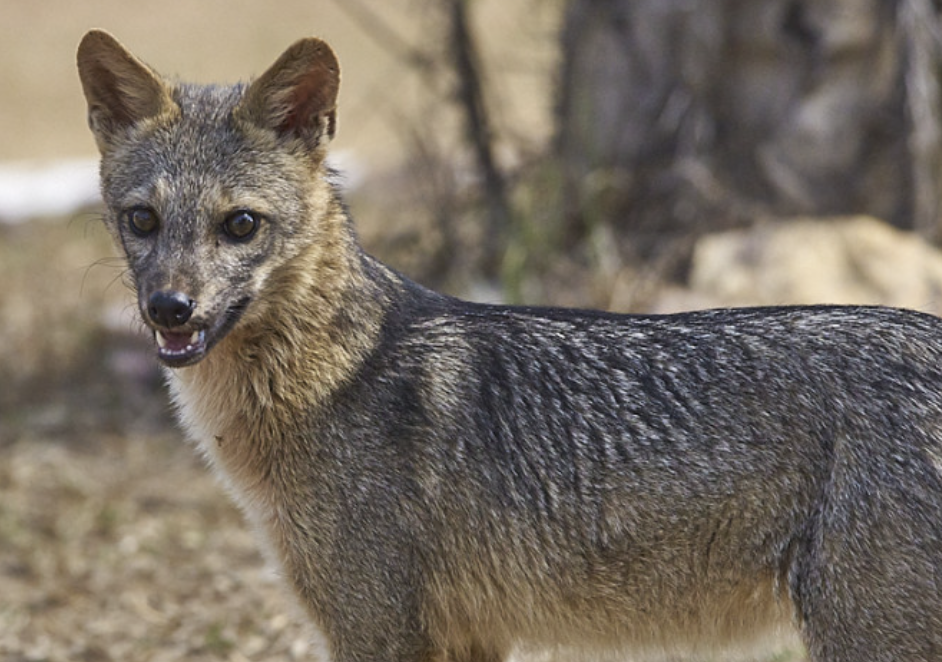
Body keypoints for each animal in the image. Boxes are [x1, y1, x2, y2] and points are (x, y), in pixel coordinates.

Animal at [75, 29, 942, 662]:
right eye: (142, 220)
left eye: (241, 225)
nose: (170, 310)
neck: (334, 379)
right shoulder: (465, 638)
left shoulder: (380, 632)